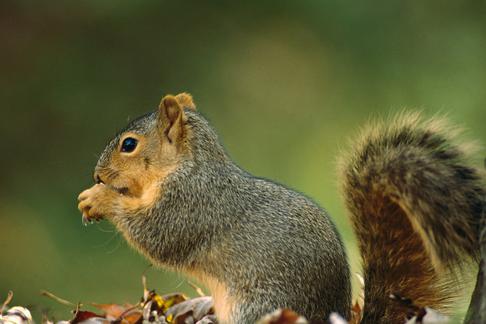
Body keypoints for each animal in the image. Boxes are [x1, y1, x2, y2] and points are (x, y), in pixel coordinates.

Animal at [78, 92, 484, 322]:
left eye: (129, 145)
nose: (97, 173)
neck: (189, 165)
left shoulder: (191, 204)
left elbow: (156, 236)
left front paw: (99, 198)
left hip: (260, 307)